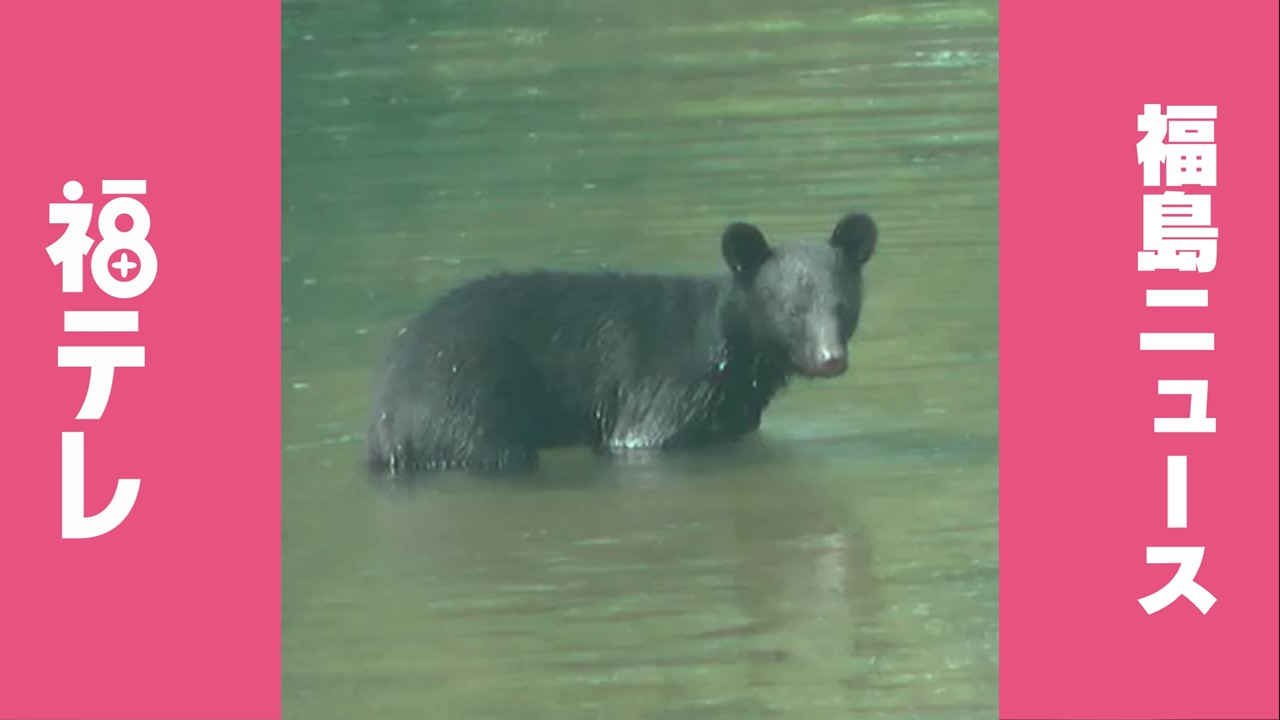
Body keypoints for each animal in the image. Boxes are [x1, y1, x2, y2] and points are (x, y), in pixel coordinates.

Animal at [365, 212, 877, 476]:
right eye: (793, 310)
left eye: (843, 307)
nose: (831, 359)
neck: (736, 351)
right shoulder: (669, 384)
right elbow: (644, 435)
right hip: (466, 401)